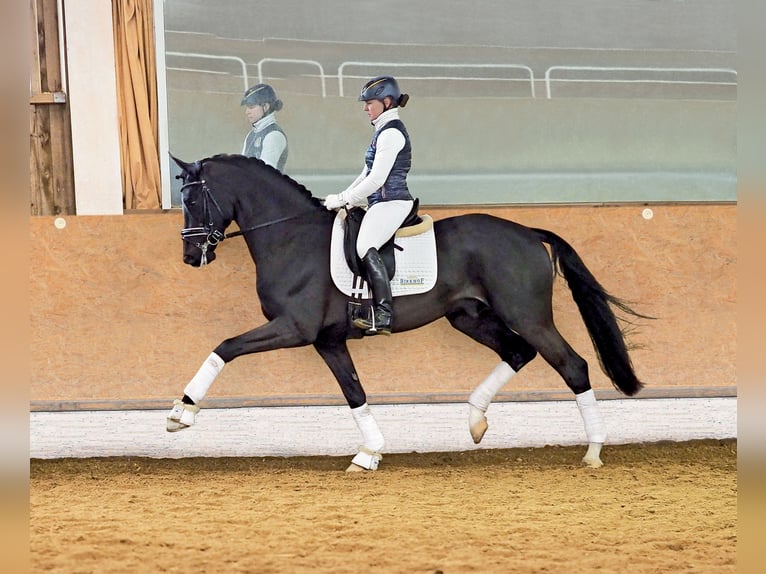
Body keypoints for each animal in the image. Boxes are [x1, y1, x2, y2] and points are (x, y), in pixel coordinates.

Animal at [168, 153, 648, 472]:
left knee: (572, 365)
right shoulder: (327, 340)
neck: (290, 236)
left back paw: (593, 450)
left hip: (527, 315)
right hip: (469, 316)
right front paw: (369, 453)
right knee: (517, 354)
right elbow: (354, 393)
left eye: (194, 200)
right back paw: (475, 420)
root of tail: (527, 231)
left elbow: (226, 347)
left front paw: (182, 412)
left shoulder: (293, 328)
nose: (191, 257)